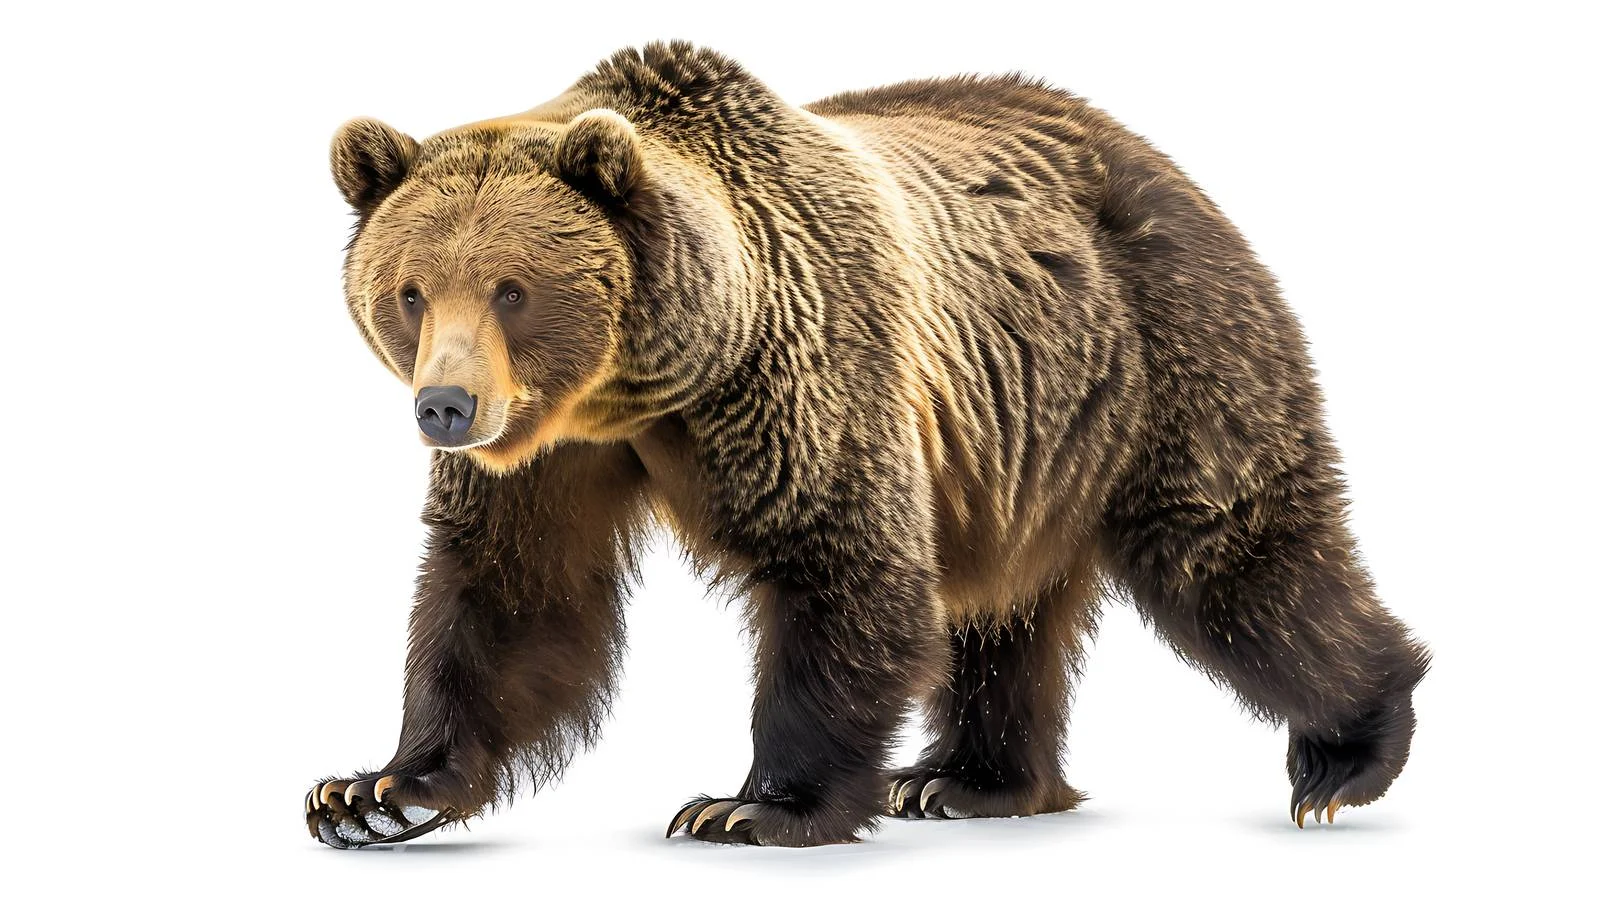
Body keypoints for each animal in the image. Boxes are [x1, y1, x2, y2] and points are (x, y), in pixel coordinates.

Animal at [306, 41, 1430, 848]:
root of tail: (1157, 156)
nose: (445, 407)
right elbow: (509, 596)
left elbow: (840, 564)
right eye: (409, 291)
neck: (642, 383)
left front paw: (751, 805)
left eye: (512, 289)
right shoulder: (551, 456)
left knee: (1236, 557)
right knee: (1005, 613)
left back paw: (1346, 753)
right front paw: (376, 789)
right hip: (1019, 449)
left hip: (1163, 351)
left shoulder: (803, 371)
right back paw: (964, 781)